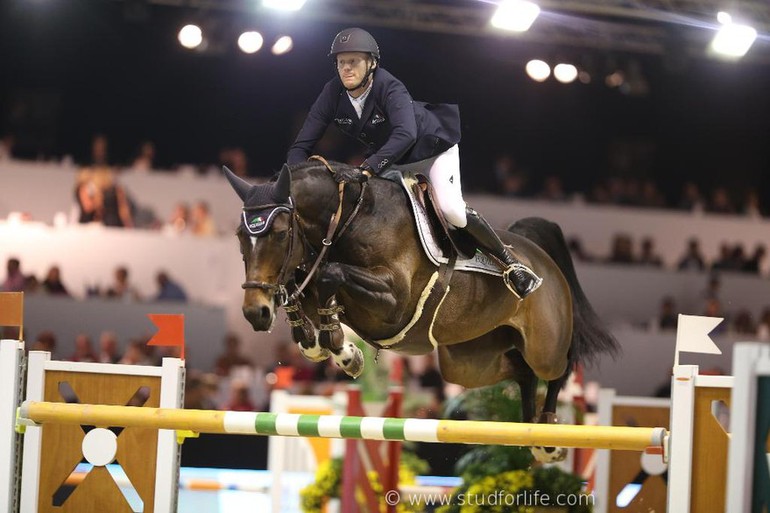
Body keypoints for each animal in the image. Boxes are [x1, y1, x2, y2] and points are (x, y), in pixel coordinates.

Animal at [224, 160, 616, 460]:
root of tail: (540, 254)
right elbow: (309, 292)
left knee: (560, 368)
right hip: (469, 364)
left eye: (278, 234)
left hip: (544, 346)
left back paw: (548, 436)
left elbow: (329, 274)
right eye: (240, 237)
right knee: (521, 373)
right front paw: (336, 348)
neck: (348, 218)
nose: (254, 312)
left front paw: (340, 346)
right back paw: (531, 430)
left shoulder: (394, 303)